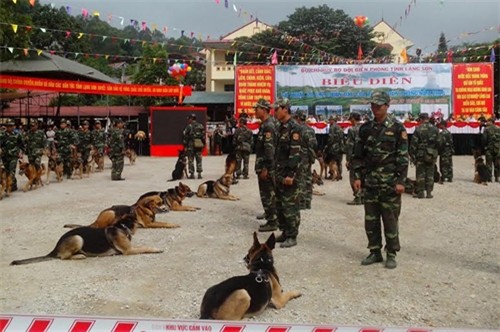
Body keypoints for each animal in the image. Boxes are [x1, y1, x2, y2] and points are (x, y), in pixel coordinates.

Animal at [10, 215, 162, 264]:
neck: (122, 227)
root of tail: (55, 248)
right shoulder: (128, 250)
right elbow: (145, 247)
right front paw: (156, 249)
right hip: (78, 238)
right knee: (63, 257)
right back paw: (79, 256)